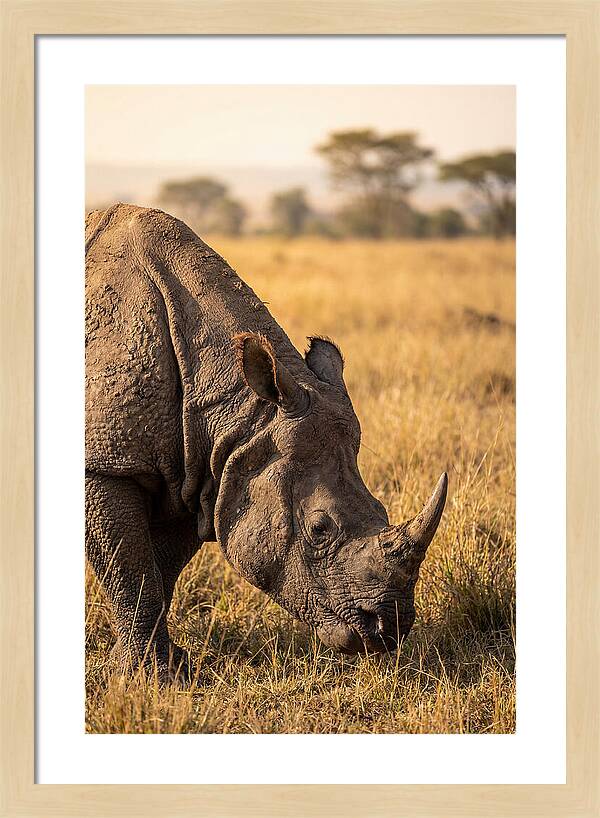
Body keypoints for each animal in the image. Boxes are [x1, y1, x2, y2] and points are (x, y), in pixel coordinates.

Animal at [85, 203, 447, 680]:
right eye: (319, 529)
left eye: (382, 509)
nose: (388, 631)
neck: (239, 414)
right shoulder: (106, 464)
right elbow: (132, 575)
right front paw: (151, 680)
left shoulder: (198, 471)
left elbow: (158, 572)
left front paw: (162, 669)